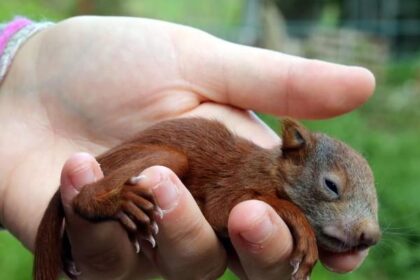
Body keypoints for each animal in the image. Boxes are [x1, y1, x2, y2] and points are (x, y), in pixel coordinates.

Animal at [33, 117, 380, 280]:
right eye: (331, 185)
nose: (371, 236)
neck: (270, 170)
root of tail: (101, 157)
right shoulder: (237, 182)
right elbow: (223, 211)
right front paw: (304, 233)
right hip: (161, 159)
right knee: (83, 198)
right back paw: (121, 204)